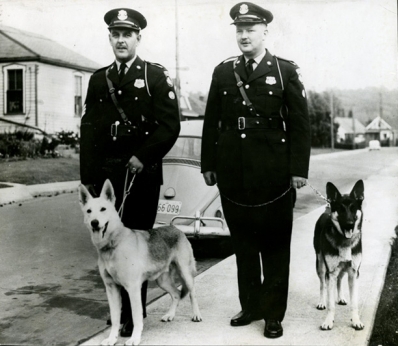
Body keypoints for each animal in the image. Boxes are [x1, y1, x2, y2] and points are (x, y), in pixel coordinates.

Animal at [79, 180, 202, 346]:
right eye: (89, 211)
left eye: (103, 209)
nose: (94, 222)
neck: (113, 244)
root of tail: (176, 228)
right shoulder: (111, 289)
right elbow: (115, 318)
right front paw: (112, 339)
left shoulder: (133, 288)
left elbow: (137, 317)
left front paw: (134, 338)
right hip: (162, 280)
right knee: (176, 294)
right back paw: (170, 315)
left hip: (185, 273)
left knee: (192, 293)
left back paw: (196, 315)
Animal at [312, 180, 366, 332]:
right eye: (341, 209)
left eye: (353, 208)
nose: (349, 224)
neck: (344, 241)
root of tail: (326, 211)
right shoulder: (330, 272)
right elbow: (331, 304)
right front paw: (328, 321)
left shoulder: (354, 273)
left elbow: (354, 303)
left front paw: (356, 321)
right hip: (320, 265)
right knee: (322, 284)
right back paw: (321, 302)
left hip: (342, 270)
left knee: (339, 281)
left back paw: (341, 297)